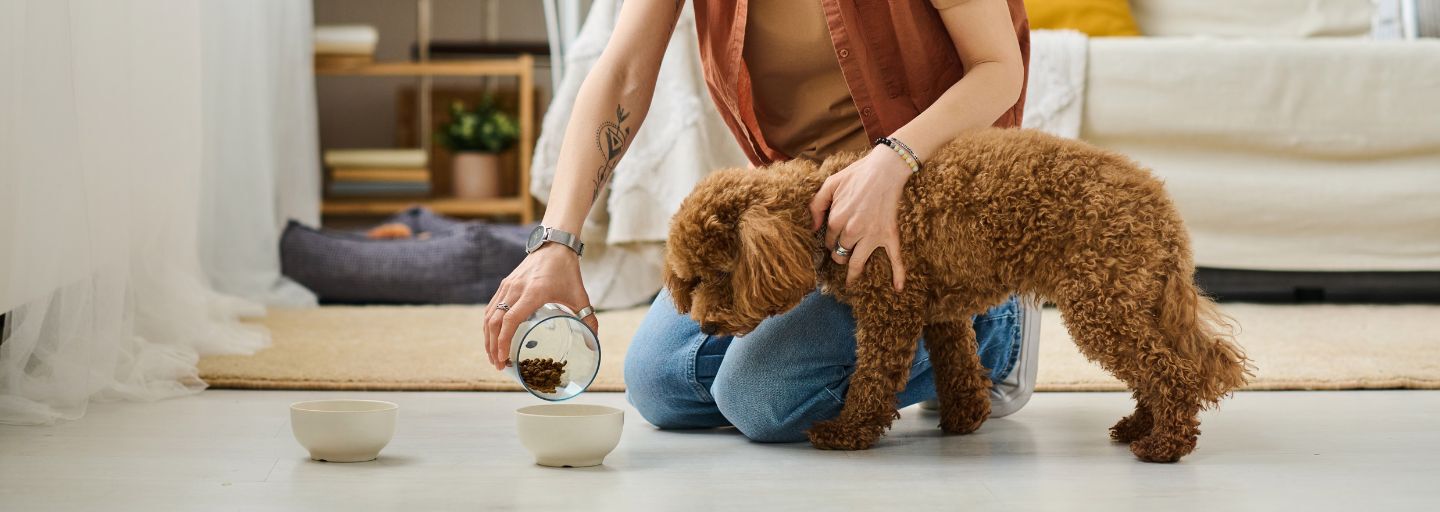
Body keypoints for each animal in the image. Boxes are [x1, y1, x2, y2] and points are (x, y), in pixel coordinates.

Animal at [662, 128, 1249, 463]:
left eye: (720, 272)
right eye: (689, 280)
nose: (706, 325)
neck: (825, 209)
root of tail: (1162, 208)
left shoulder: (891, 306)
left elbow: (873, 378)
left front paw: (848, 431)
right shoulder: (938, 311)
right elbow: (959, 363)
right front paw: (966, 418)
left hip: (1100, 302)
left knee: (1171, 371)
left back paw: (1165, 444)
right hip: (1131, 296)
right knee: (1167, 365)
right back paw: (1140, 425)